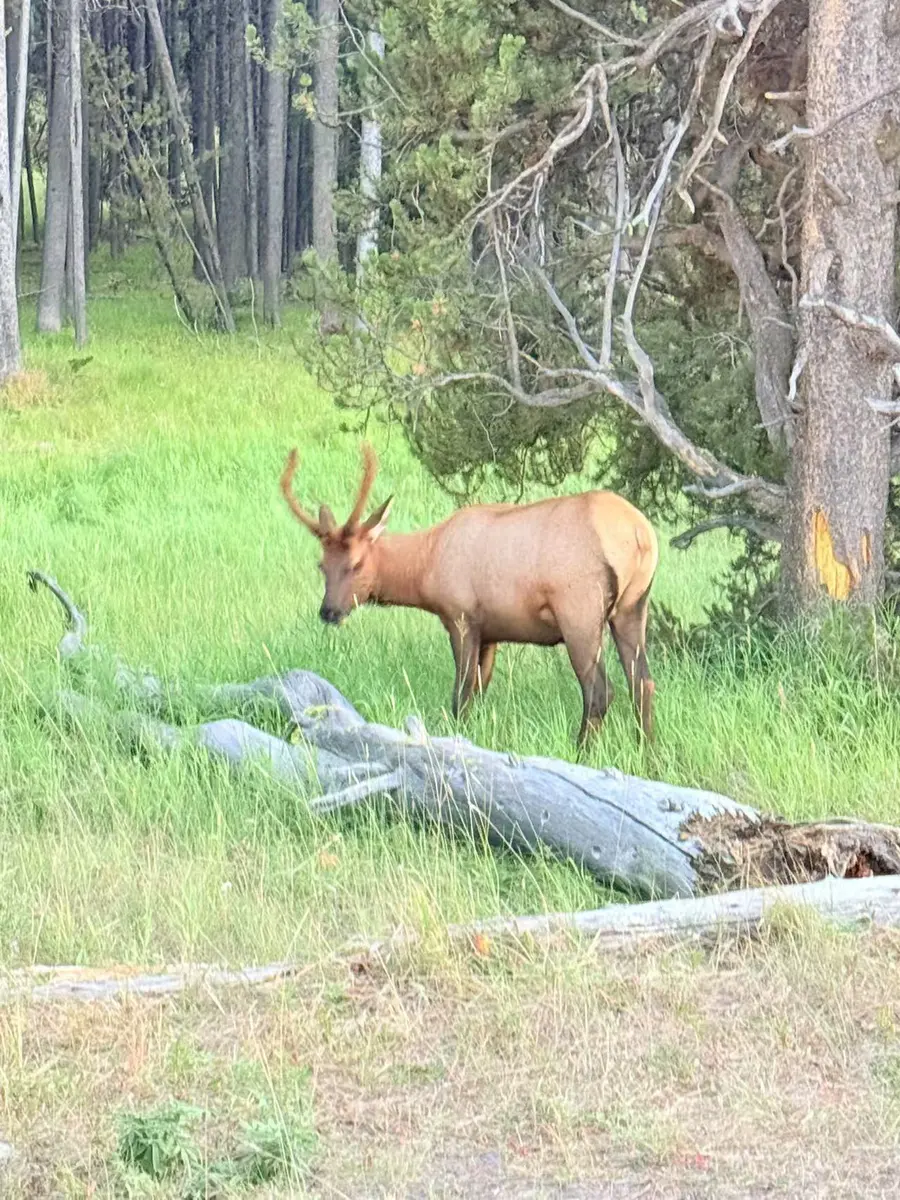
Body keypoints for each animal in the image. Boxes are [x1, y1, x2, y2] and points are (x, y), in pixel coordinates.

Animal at [280, 443, 659, 744]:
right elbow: (478, 691)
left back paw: (582, 753)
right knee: (643, 684)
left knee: (599, 692)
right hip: (632, 608)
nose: (329, 611)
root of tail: (640, 534)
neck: (426, 568)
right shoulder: (491, 632)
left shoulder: (461, 618)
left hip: (580, 612)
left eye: (356, 563)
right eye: (322, 565)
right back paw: (648, 756)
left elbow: (459, 696)